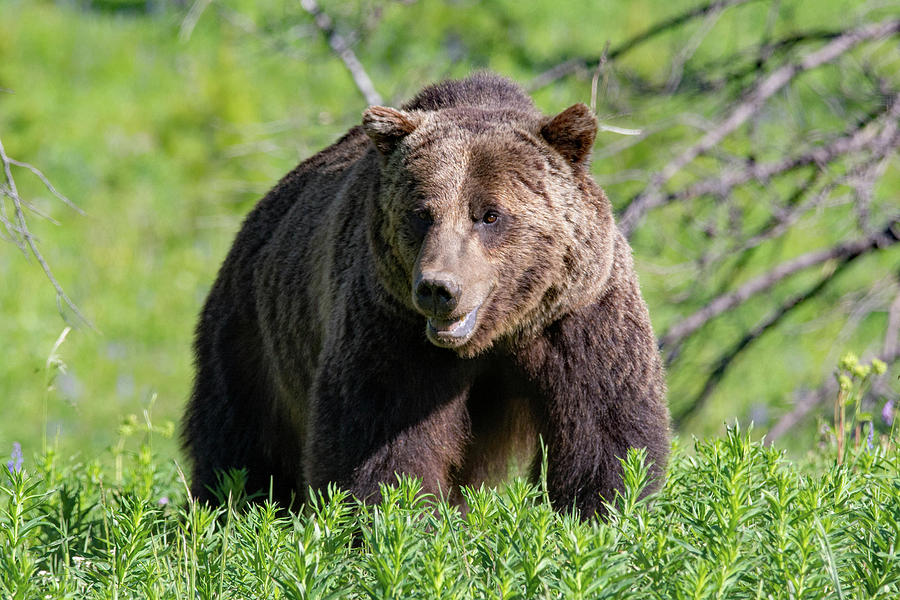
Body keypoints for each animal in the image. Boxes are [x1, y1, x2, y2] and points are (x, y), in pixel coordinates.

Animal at [183, 72, 668, 516]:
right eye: (422, 213)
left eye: (489, 214)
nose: (438, 288)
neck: (494, 337)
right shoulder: (391, 326)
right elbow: (381, 441)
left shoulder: (578, 317)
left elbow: (607, 432)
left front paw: (601, 511)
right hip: (252, 336)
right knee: (240, 442)